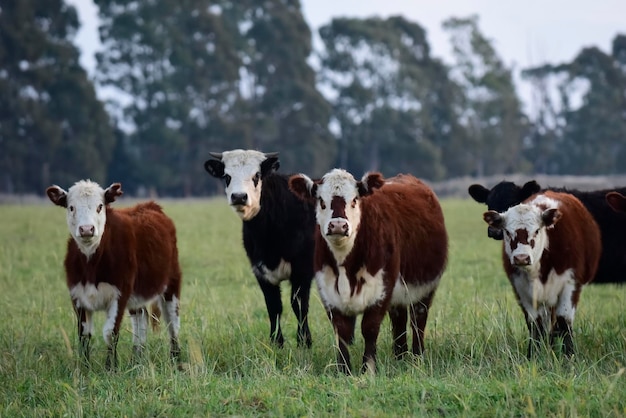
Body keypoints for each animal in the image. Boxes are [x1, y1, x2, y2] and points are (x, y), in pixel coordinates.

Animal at [46, 180, 182, 370]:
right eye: (71, 207)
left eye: (100, 206)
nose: (86, 229)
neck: (91, 264)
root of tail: (151, 206)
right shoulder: (77, 295)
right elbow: (84, 334)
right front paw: (85, 368)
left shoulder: (120, 294)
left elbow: (110, 332)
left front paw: (111, 368)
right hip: (137, 294)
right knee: (141, 319)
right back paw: (137, 359)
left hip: (171, 283)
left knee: (172, 322)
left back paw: (176, 360)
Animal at [204, 149, 314, 346]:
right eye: (226, 176)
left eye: (256, 175)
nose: (239, 196)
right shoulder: (260, 271)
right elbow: (273, 306)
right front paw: (276, 342)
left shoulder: (303, 270)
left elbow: (299, 305)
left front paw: (304, 342)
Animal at [290, 170, 446, 376]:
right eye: (321, 201)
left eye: (355, 199)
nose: (338, 225)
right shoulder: (329, 292)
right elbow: (342, 331)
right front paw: (343, 369)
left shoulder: (381, 289)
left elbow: (370, 328)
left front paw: (368, 369)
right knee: (399, 320)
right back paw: (400, 357)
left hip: (424, 289)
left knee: (418, 319)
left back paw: (417, 356)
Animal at [482, 191, 600, 358]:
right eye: (507, 232)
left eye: (537, 230)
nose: (521, 258)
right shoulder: (522, 290)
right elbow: (535, 325)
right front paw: (534, 355)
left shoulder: (570, 285)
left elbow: (564, 322)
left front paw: (569, 356)